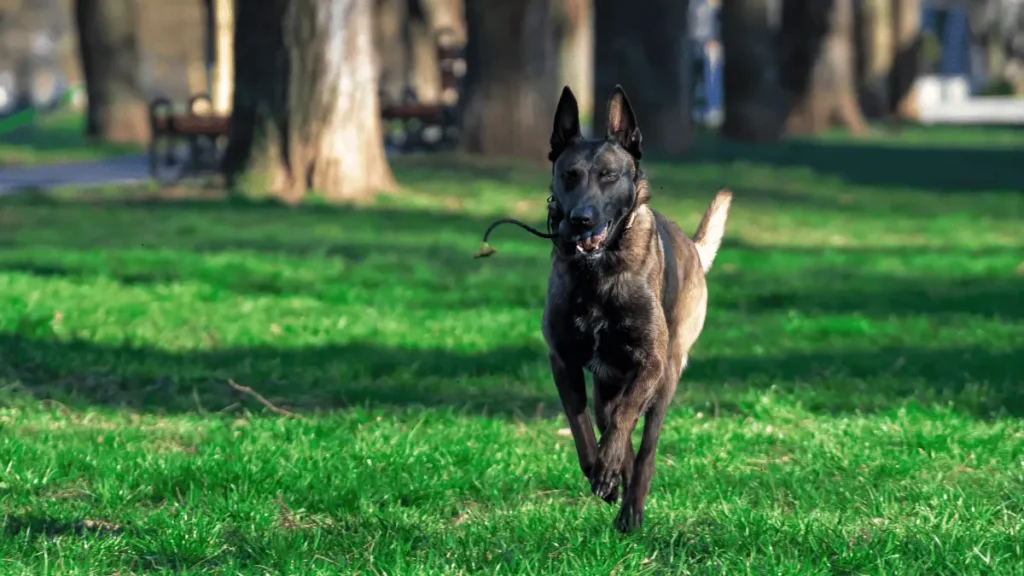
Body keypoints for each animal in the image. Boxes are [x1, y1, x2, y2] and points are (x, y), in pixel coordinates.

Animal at [540, 83, 733, 532]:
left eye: (609, 176)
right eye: (569, 175)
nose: (580, 219)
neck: (598, 271)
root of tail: (694, 249)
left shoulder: (651, 362)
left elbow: (628, 415)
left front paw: (609, 469)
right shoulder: (564, 361)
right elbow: (580, 423)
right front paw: (599, 468)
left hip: (666, 378)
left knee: (644, 449)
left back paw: (632, 511)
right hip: (607, 384)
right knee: (612, 423)